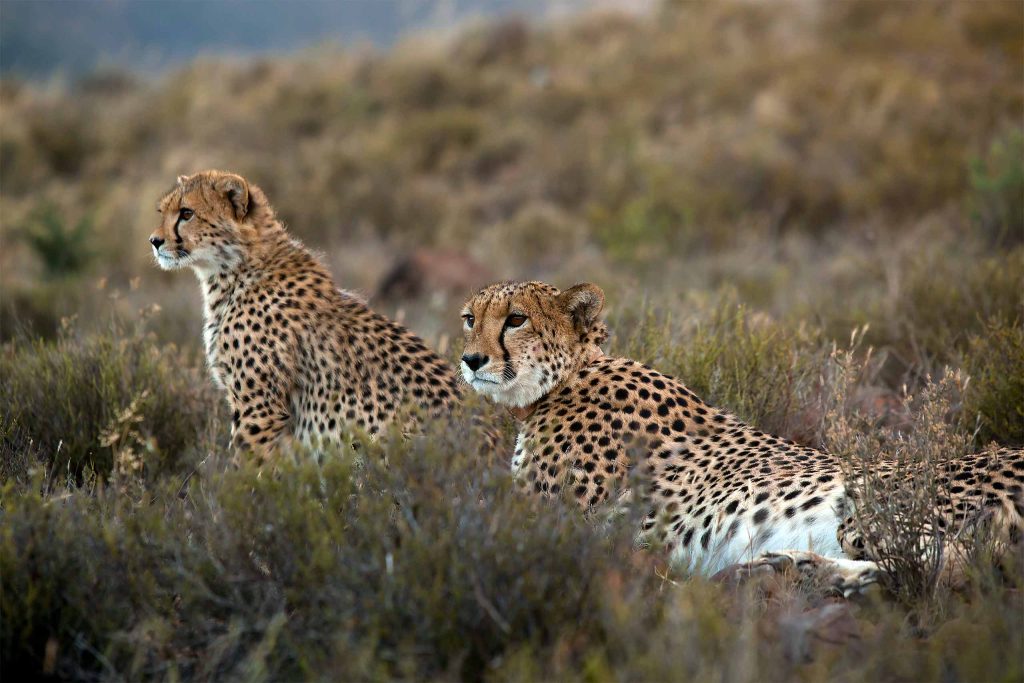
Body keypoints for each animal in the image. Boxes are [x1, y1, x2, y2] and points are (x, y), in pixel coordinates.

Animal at [149, 169, 460, 454]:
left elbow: (242, 468)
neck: (238, 269)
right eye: (163, 212)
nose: (154, 241)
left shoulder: (260, 408)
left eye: (186, 213)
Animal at [458, 280, 1024, 593]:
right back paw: (795, 564)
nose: (470, 359)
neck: (569, 376)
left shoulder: (552, 521)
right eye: (468, 319)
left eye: (516, 319)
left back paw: (824, 574)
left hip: (871, 506)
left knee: (944, 562)